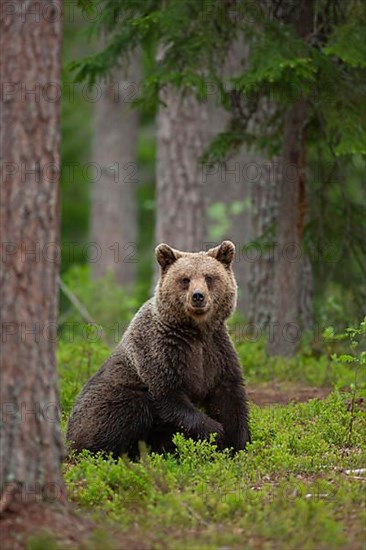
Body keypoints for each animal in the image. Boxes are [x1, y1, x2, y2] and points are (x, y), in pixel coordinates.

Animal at [66, 242, 250, 462]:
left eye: (209, 277)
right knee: (129, 408)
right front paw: (215, 432)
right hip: (101, 405)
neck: (195, 331)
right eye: (185, 279)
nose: (198, 296)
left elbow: (230, 397)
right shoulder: (161, 352)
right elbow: (169, 398)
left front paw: (238, 443)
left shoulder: (216, 351)